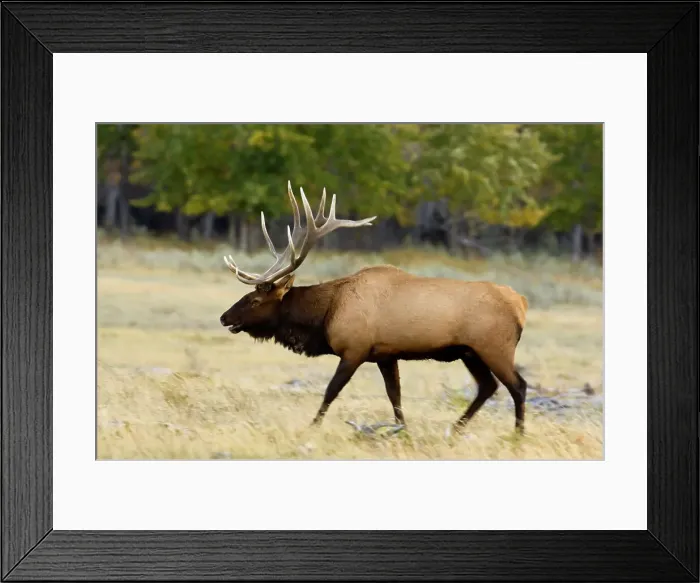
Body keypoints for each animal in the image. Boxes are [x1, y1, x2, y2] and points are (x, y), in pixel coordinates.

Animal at [219, 182, 530, 436]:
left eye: (255, 300)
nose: (224, 317)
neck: (327, 313)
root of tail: (521, 304)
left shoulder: (354, 349)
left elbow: (331, 391)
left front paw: (312, 426)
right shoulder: (386, 354)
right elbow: (395, 396)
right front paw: (402, 431)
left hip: (494, 347)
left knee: (517, 386)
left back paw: (517, 435)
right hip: (470, 352)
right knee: (488, 386)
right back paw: (455, 428)